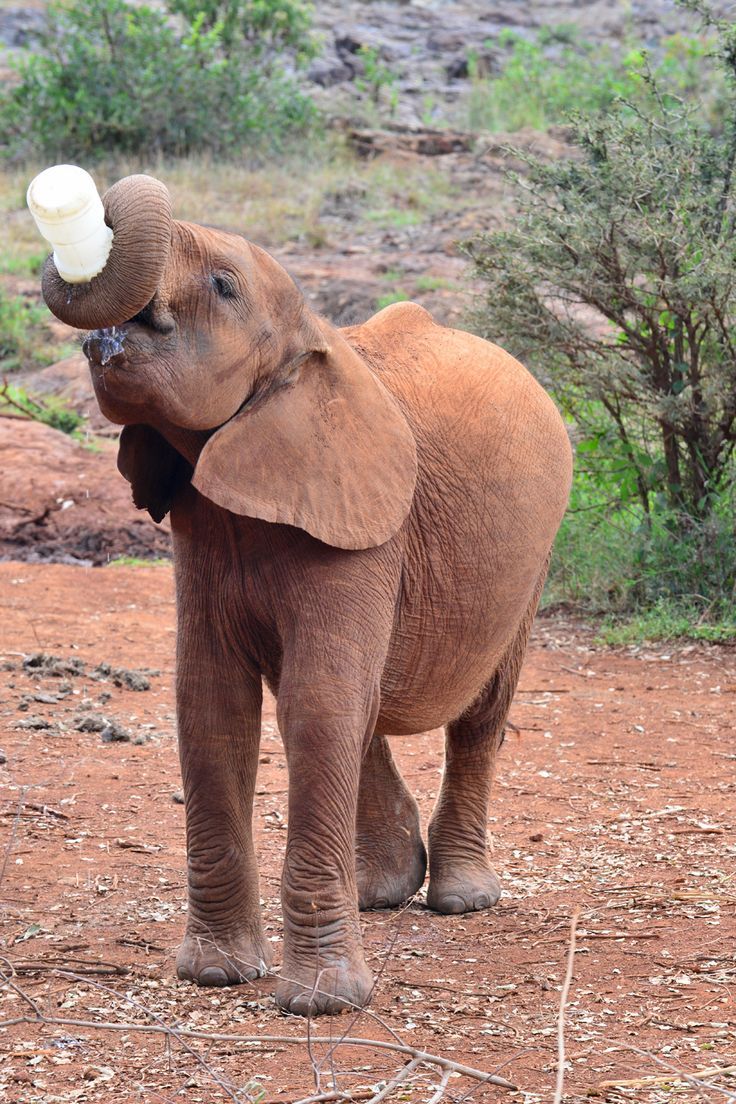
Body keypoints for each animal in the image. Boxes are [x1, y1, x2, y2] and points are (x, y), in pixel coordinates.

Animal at [38, 172, 572, 1015]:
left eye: (222, 286)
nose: (74, 207)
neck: (312, 341)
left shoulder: (364, 531)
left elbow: (317, 705)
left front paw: (324, 1003)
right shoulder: (204, 531)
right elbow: (212, 704)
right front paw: (217, 974)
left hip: (534, 558)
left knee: (479, 712)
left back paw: (460, 898)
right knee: (370, 703)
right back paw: (383, 889)